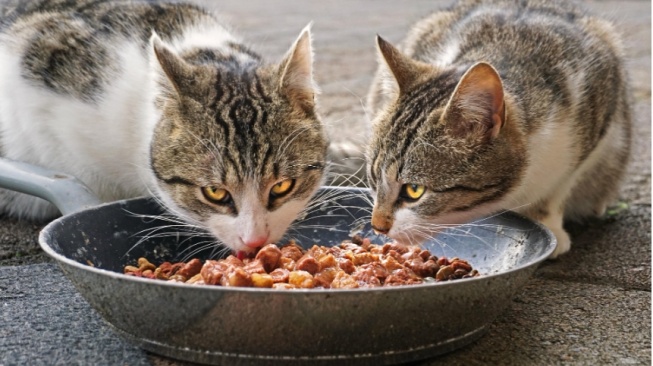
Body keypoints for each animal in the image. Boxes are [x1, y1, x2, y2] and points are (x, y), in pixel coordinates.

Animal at [364, 0, 628, 258]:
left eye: (414, 190)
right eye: (374, 178)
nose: (377, 226)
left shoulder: (598, 109)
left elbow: (558, 187)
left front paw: (548, 222)